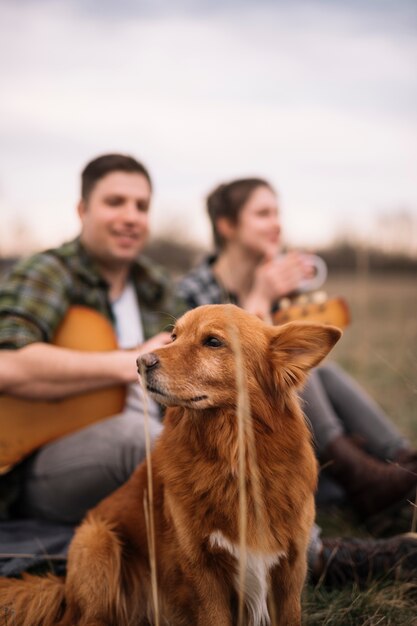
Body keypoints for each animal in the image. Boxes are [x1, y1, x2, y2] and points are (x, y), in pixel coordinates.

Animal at [0, 302, 340, 620]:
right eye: (174, 336)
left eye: (213, 342)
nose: (140, 361)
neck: (231, 456)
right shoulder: (202, 571)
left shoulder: (290, 569)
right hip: (98, 544)